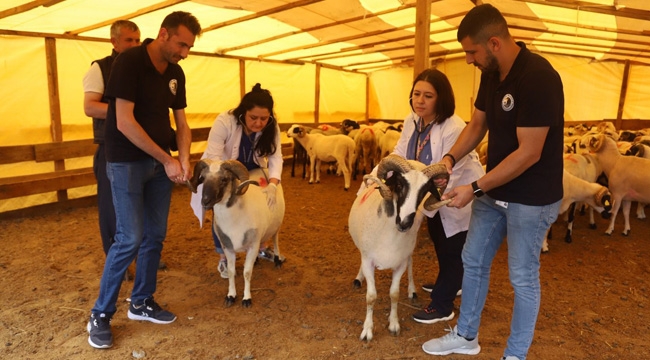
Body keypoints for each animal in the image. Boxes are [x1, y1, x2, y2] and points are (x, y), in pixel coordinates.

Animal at [185, 160, 280, 306]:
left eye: (224, 179)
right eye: (203, 178)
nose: (205, 201)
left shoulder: (253, 245)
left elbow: (247, 272)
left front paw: (246, 298)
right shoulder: (227, 247)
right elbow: (231, 271)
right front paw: (231, 296)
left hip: (276, 225)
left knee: (275, 239)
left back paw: (277, 259)